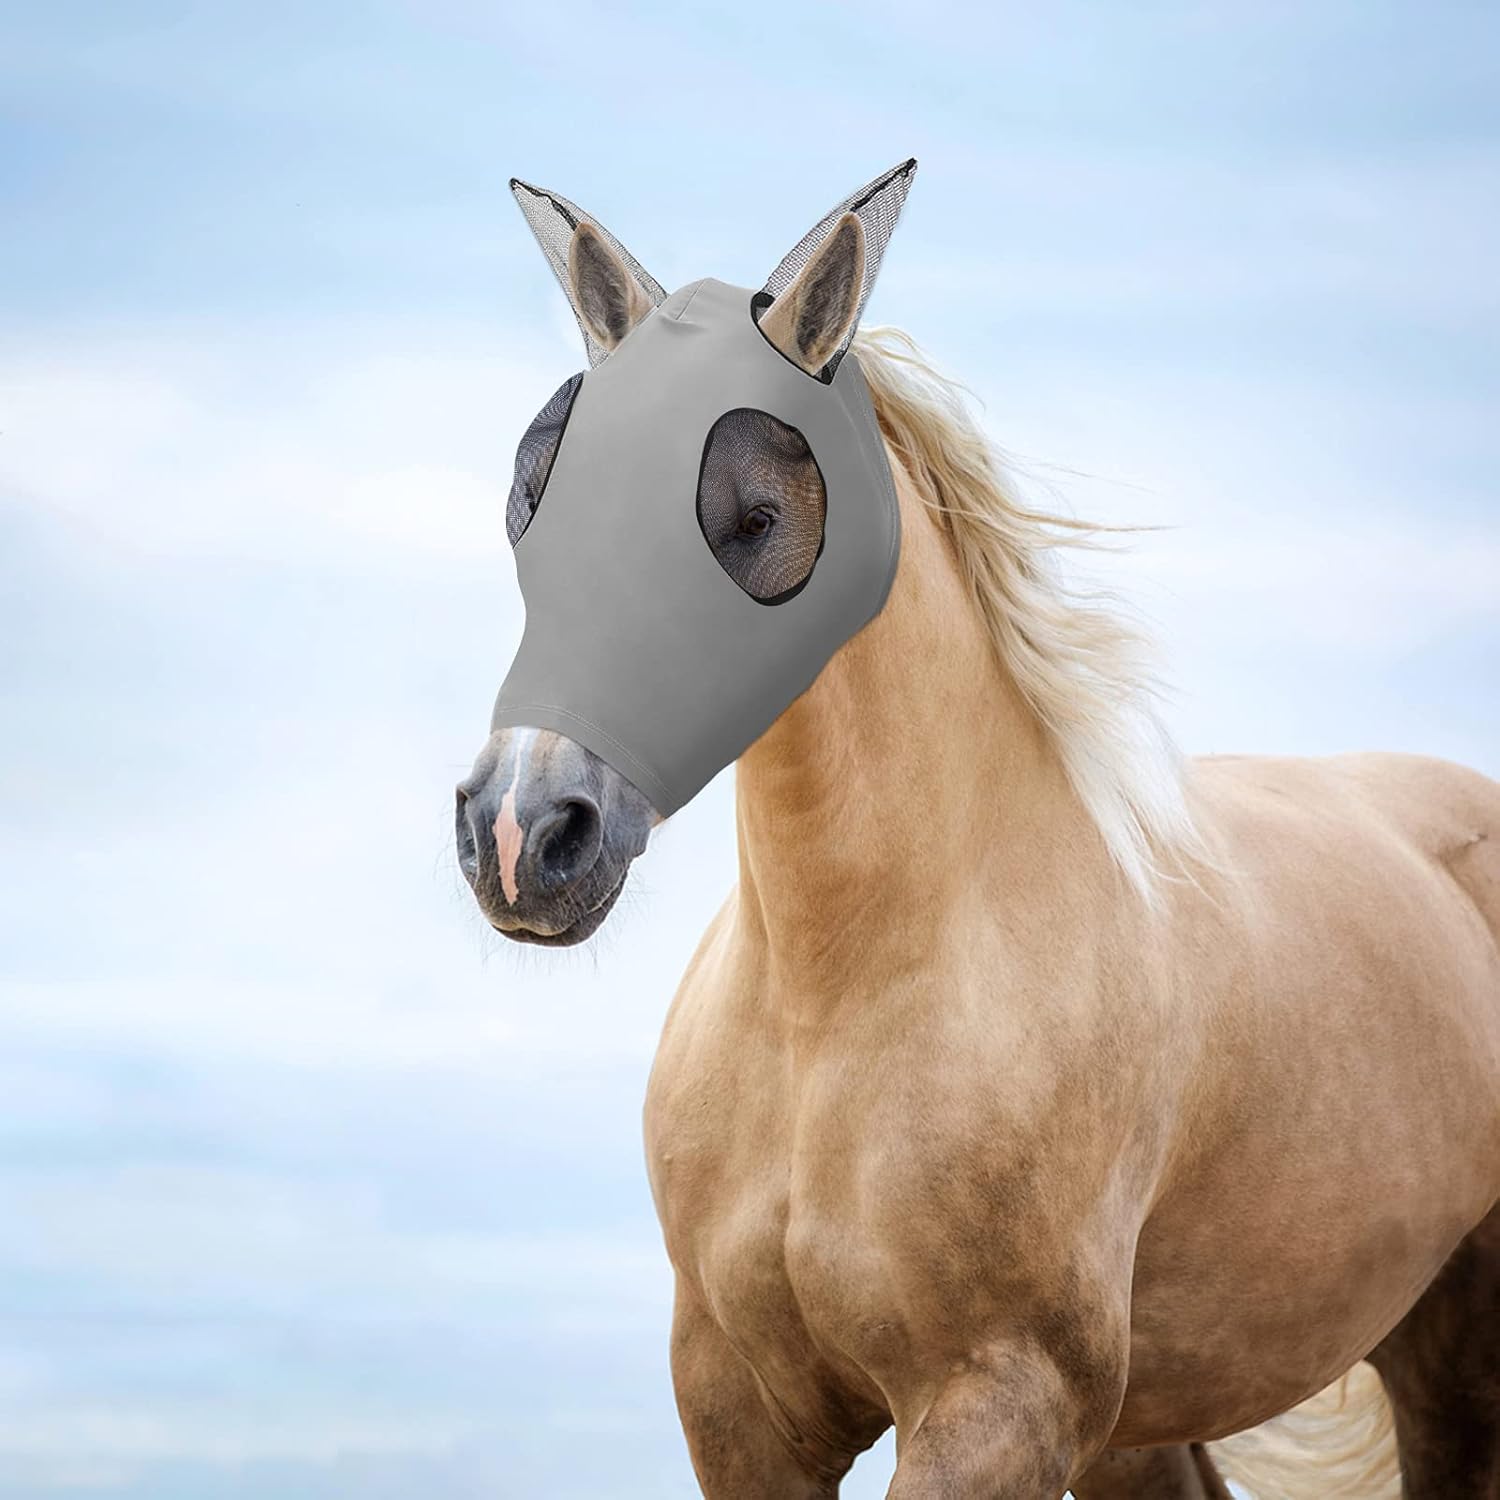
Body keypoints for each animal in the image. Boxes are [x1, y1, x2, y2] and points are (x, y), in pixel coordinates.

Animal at [455, 178, 1500, 1498]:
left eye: (752, 516)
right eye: (529, 496)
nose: (522, 832)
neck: (842, 999)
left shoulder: (995, 1405)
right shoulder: (738, 1412)